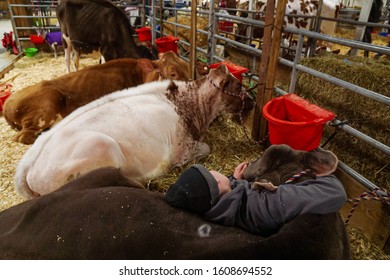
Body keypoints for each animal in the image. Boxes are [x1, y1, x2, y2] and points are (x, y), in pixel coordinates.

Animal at [12, 65, 253, 198]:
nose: (252, 102)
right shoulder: (184, 149)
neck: (193, 105)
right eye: (239, 87)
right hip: (102, 147)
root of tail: (28, 166)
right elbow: (205, 148)